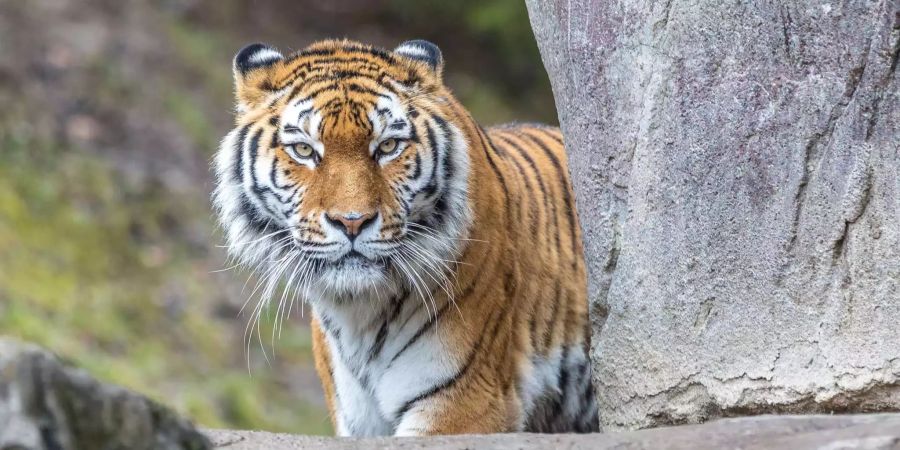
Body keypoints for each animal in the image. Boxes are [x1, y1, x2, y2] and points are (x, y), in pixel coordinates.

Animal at [213, 39, 596, 436]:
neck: (359, 314)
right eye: (304, 150)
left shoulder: (465, 401)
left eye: (388, 146)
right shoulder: (357, 420)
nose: (352, 222)